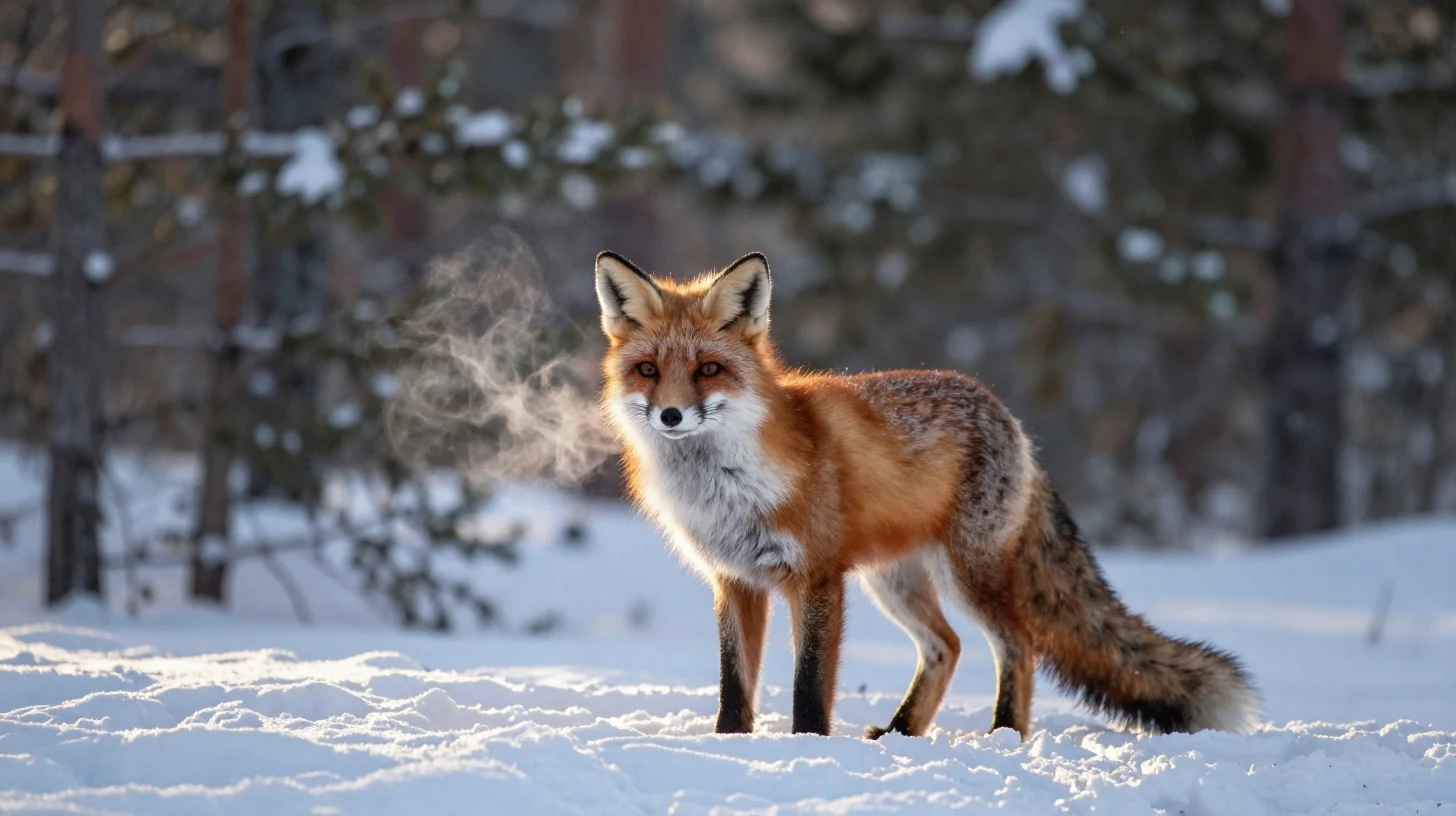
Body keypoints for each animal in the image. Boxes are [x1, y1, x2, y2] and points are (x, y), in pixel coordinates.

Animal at [594, 249, 1260, 740]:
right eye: (648, 371)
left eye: (708, 369)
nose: (672, 416)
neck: (727, 487)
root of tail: (1012, 420)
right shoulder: (735, 581)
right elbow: (736, 686)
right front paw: (729, 746)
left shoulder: (817, 576)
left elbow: (809, 685)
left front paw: (808, 749)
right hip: (894, 581)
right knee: (948, 646)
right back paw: (900, 732)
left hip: (966, 574)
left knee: (1018, 645)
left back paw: (1002, 736)